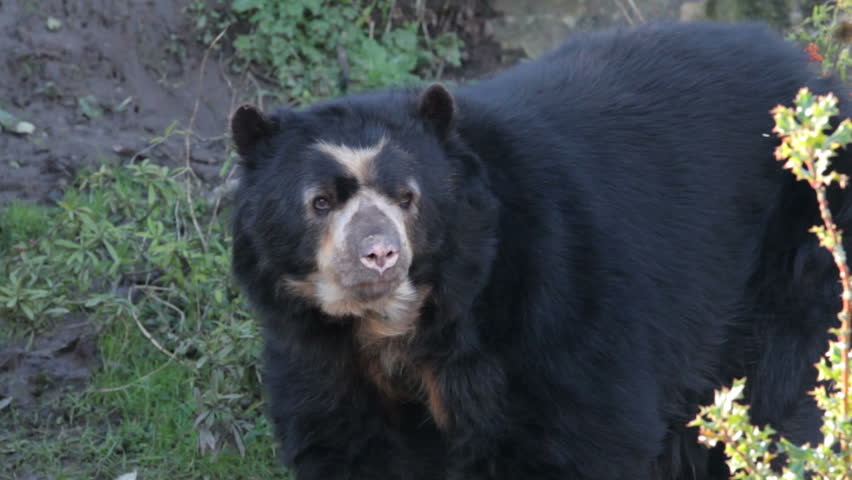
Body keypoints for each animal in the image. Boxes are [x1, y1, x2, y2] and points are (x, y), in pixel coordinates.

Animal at [228, 21, 851, 480]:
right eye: (319, 203)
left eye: (408, 197)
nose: (378, 255)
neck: (399, 327)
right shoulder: (320, 355)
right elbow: (346, 442)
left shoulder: (557, 299)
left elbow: (581, 435)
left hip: (802, 250)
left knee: (788, 395)